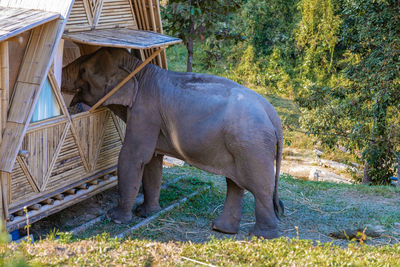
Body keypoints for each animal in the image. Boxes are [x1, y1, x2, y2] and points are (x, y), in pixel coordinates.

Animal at [61, 47, 284, 240]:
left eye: (83, 70)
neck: (139, 69)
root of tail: (274, 116)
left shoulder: (145, 111)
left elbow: (133, 157)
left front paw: (115, 219)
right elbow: (152, 161)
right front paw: (146, 213)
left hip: (252, 146)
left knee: (259, 188)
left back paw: (262, 236)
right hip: (241, 147)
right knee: (235, 184)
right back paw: (222, 229)